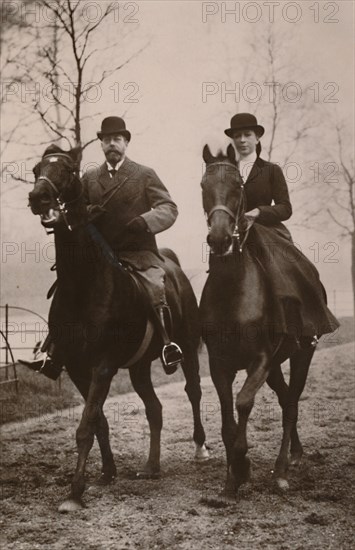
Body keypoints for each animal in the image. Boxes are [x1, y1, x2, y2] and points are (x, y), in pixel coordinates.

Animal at [28, 147, 209, 512]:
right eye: (37, 169)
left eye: (68, 170)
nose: (38, 197)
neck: (83, 283)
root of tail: (172, 264)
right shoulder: (77, 368)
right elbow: (98, 421)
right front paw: (106, 473)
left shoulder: (103, 366)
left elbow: (86, 426)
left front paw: (75, 491)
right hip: (139, 368)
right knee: (154, 409)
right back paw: (151, 466)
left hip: (187, 349)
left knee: (193, 391)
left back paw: (200, 447)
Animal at [200, 147, 320, 500]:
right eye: (203, 186)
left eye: (238, 187)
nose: (219, 239)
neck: (233, 290)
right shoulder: (219, 364)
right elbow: (227, 419)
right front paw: (232, 479)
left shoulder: (260, 360)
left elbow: (243, 402)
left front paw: (242, 466)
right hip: (277, 365)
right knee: (284, 398)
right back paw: (294, 454)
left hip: (301, 354)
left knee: (291, 405)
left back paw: (281, 472)